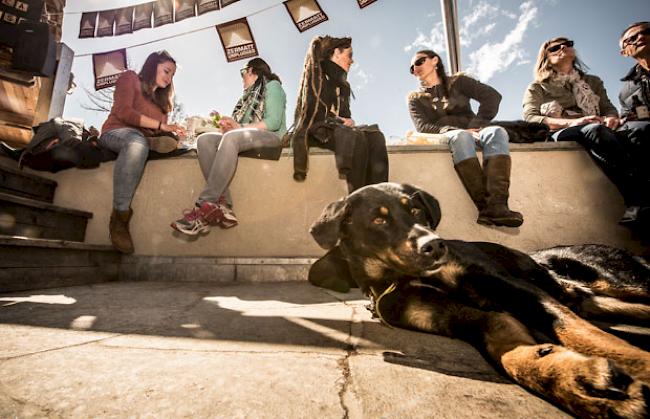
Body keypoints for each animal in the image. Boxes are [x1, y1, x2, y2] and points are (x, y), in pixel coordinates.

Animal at [308, 183, 648, 419]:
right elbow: (510, 352)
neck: (405, 276)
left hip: (618, 281)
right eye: (378, 221)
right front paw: (570, 381)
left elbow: (582, 333)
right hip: (597, 299)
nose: (435, 246)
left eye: (416, 211)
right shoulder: (460, 315)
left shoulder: (514, 288)